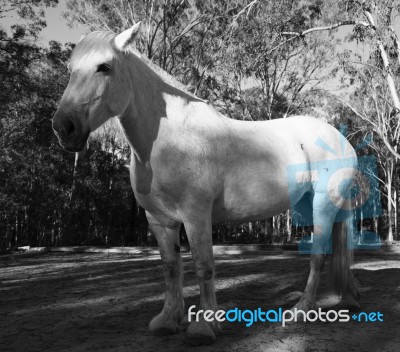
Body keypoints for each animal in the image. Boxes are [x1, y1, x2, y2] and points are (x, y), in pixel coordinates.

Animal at [51, 24, 360, 346]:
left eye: (105, 67)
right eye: (71, 69)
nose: (64, 127)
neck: (169, 139)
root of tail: (342, 140)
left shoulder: (196, 216)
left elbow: (204, 266)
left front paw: (204, 326)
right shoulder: (160, 220)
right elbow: (170, 267)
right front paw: (168, 320)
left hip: (322, 205)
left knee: (318, 256)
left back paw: (302, 309)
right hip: (313, 204)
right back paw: (347, 299)